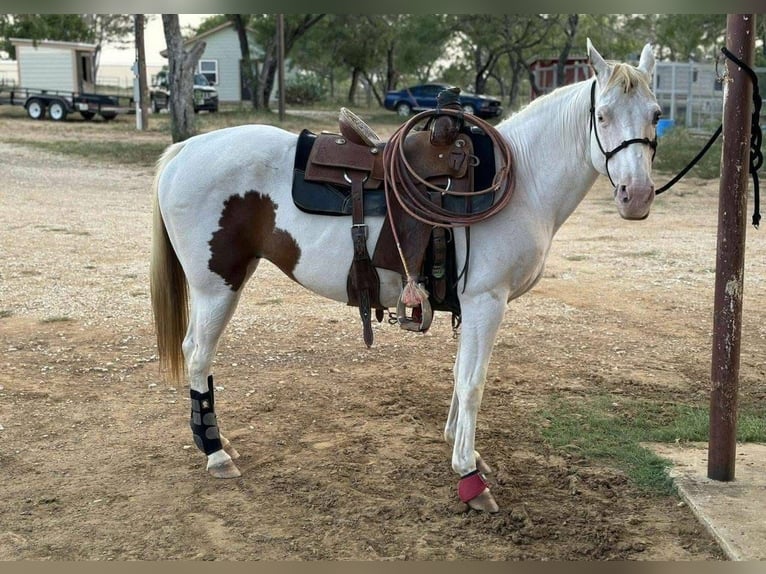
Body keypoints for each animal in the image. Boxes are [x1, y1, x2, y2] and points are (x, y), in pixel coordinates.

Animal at [152, 42, 664, 516]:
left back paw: (217, 442)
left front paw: (460, 445)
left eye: (656, 115)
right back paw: (214, 452)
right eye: (603, 115)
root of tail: (185, 149)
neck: (522, 183)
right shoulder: (486, 302)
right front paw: (469, 477)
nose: (636, 195)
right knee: (198, 354)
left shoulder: (471, 305)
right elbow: (474, 382)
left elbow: (459, 375)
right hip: (217, 285)